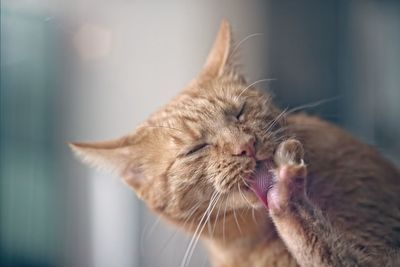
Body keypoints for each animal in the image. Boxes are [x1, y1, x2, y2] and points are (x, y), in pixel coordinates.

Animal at [70, 19, 400, 266]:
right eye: (195, 149)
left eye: (239, 112)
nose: (246, 146)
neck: (252, 244)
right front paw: (286, 197)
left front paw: (289, 198)